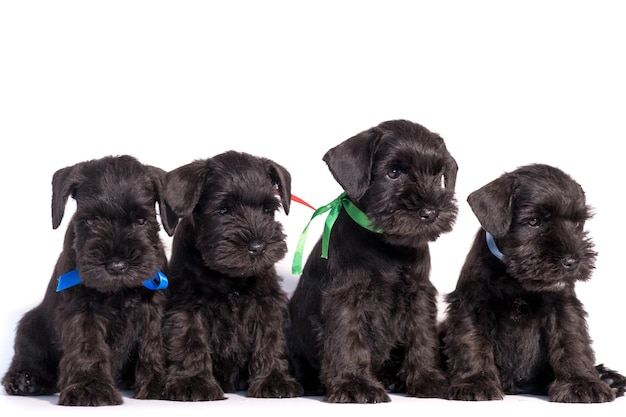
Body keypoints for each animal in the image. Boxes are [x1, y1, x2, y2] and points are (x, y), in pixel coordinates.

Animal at [3, 154, 178, 404]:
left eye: (141, 220)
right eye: (91, 220)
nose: (117, 265)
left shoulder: (152, 307)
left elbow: (152, 343)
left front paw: (156, 384)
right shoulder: (83, 308)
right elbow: (88, 345)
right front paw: (89, 387)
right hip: (30, 324)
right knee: (28, 356)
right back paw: (25, 380)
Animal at [161, 150, 302, 400]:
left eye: (268, 210)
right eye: (223, 210)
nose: (257, 247)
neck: (229, 277)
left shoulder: (267, 303)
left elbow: (270, 338)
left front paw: (274, 380)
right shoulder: (187, 305)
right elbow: (190, 339)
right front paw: (193, 382)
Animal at [286, 118, 456, 402]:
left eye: (436, 174)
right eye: (394, 172)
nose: (430, 212)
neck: (387, 245)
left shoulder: (419, 294)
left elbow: (422, 337)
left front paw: (428, 379)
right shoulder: (346, 297)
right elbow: (348, 340)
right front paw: (354, 384)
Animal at [438, 162, 624, 400]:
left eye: (578, 223)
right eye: (534, 221)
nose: (572, 261)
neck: (515, 280)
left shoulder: (562, 307)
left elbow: (572, 342)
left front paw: (581, 382)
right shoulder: (472, 306)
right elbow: (471, 344)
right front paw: (475, 383)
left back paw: (608, 378)